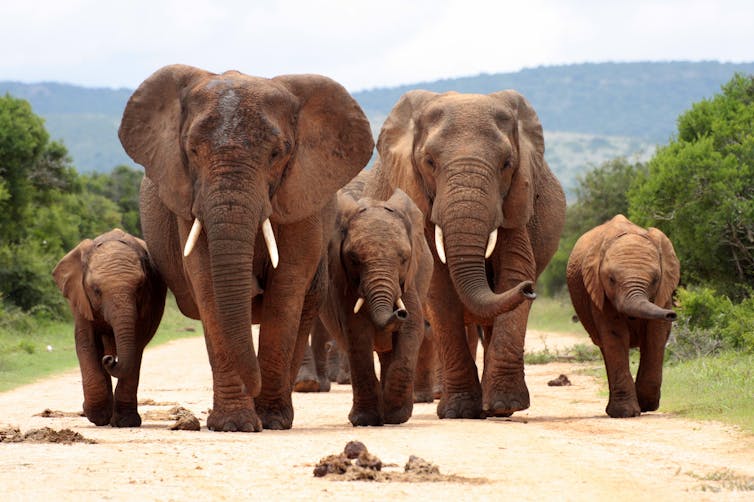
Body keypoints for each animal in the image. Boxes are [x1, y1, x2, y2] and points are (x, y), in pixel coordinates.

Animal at [52, 228, 167, 427]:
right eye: (96, 290)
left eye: (140, 287)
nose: (110, 360)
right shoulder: (80, 298)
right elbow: (86, 342)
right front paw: (97, 417)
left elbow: (136, 346)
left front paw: (125, 422)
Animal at [118, 64, 373, 432]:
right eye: (192, 151)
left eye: (277, 153)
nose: (254, 387)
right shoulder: (188, 200)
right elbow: (208, 286)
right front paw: (234, 424)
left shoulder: (301, 197)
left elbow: (286, 290)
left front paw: (269, 420)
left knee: (305, 306)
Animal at [316, 180, 434, 426]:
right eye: (353, 259)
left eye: (404, 258)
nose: (399, 313)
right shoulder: (346, 287)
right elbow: (357, 333)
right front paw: (365, 419)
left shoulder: (409, 281)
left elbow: (411, 330)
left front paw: (395, 416)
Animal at [363, 89, 566, 419]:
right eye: (429, 162)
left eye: (507, 163)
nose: (531, 289)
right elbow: (439, 287)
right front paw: (459, 411)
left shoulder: (516, 201)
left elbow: (514, 271)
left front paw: (505, 406)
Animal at [566, 214, 680, 418]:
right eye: (611, 279)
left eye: (655, 280)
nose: (672, 314)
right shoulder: (599, 292)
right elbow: (615, 335)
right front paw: (626, 413)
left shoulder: (663, 293)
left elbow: (655, 335)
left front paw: (646, 405)